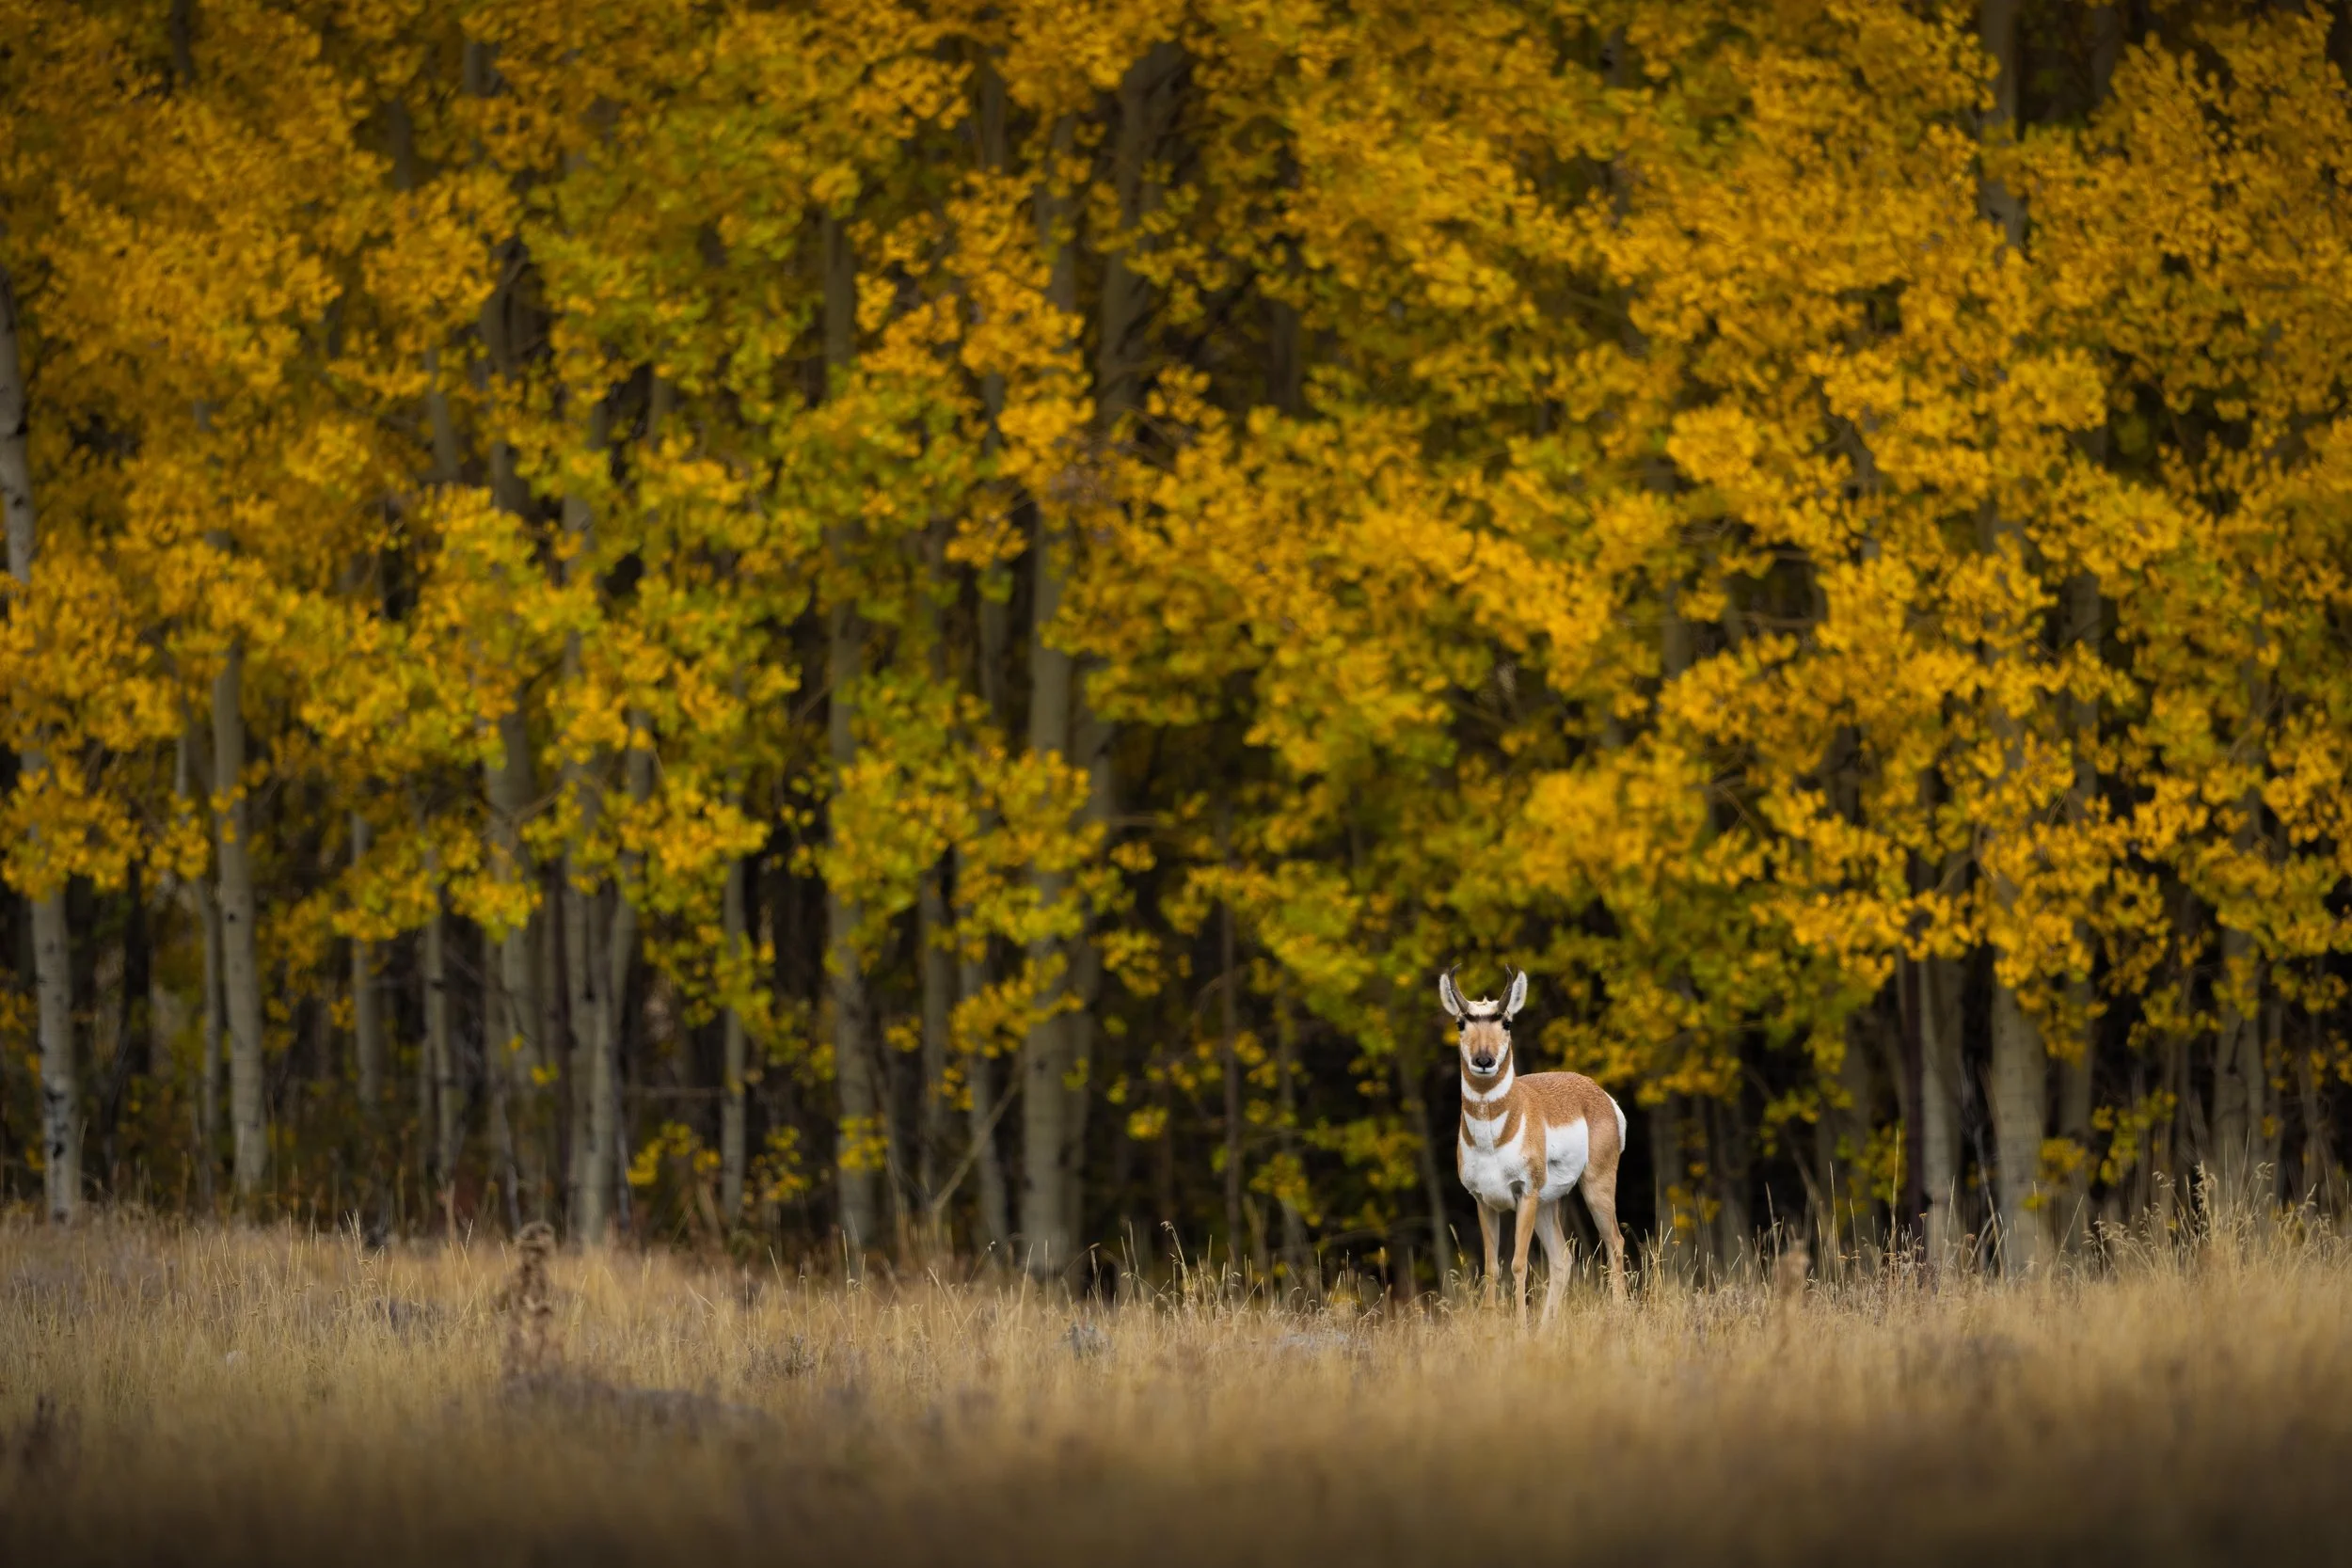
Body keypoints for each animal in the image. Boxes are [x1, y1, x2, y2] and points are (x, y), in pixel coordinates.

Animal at [1444, 966, 1628, 1320]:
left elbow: (1518, 1265)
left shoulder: (1524, 1194)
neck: (1494, 1140)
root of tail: (1598, 1092)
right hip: (1548, 1203)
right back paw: (1548, 1327)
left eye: (1506, 1022)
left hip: (1594, 1186)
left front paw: (1519, 1327)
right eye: (1461, 1022)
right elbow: (1491, 1268)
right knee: (1562, 1259)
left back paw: (1619, 1316)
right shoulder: (1483, 1200)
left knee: (1615, 1242)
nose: (1484, 1060)